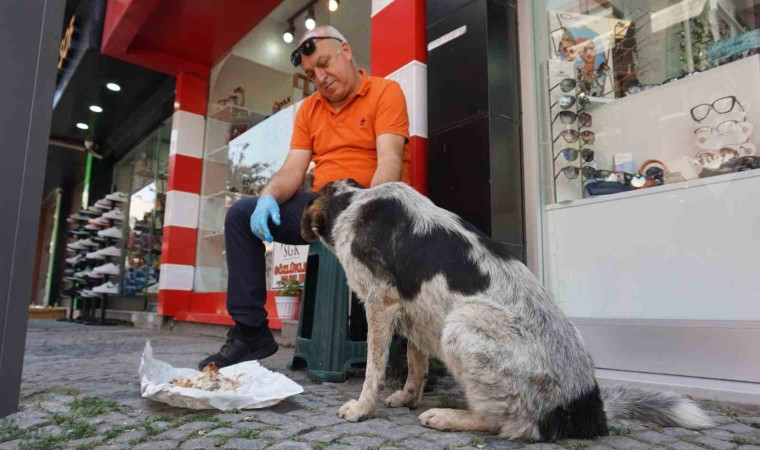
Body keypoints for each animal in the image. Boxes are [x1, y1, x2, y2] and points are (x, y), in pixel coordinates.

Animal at [298, 178, 712, 440]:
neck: (354, 201)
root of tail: (588, 407)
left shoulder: (380, 303)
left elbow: (373, 369)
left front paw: (362, 409)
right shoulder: (410, 308)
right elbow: (415, 362)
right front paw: (407, 397)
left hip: (460, 324)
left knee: (510, 425)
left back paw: (446, 416)